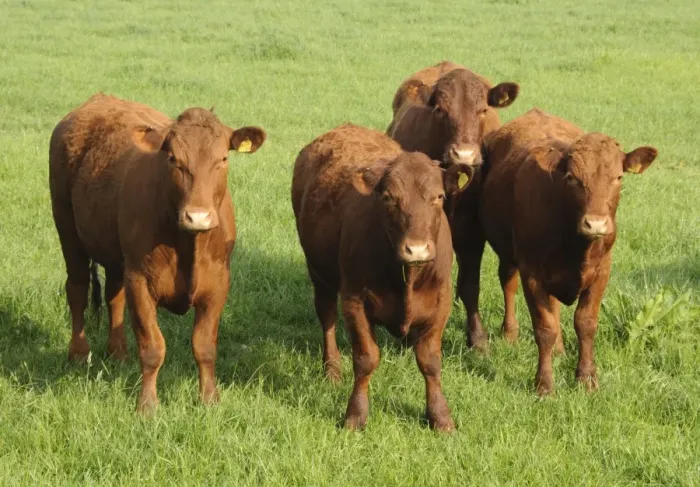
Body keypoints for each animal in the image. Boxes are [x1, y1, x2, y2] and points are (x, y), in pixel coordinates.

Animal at [49, 93, 266, 412]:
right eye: (174, 159)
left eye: (223, 159)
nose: (197, 216)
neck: (189, 244)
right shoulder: (140, 280)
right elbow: (152, 347)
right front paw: (148, 406)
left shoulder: (219, 283)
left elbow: (205, 346)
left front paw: (209, 400)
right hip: (67, 228)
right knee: (77, 289)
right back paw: (78, 353)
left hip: (116, 255)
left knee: (114, 295)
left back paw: (118, 353)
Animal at [291, 124, 474, 431]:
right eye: (389, 198)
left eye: (438, 197)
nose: (416, 249)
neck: (407, 276)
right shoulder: (354, 301)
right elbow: (366, 359)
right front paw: (355, 415)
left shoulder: (442, 302)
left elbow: (430, 361)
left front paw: (440, 417)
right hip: (319, 274)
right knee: (326, 317)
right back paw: (332, 370)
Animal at [387, 61, 520, 351]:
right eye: (440, 110)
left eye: (483, 110)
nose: (464, 154)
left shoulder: (472, 232)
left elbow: (470, 284)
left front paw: (477, 339)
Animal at [479, 108, 657, 395]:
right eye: (572, 178)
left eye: (618, 178)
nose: (595, 223)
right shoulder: (532, 273)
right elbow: (544, 328)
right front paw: (544, 385)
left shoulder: (602, 271)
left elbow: (585, 323)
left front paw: (586, 379)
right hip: (507, 253)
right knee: (508, 283)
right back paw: (510, 333)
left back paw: (560, 350)